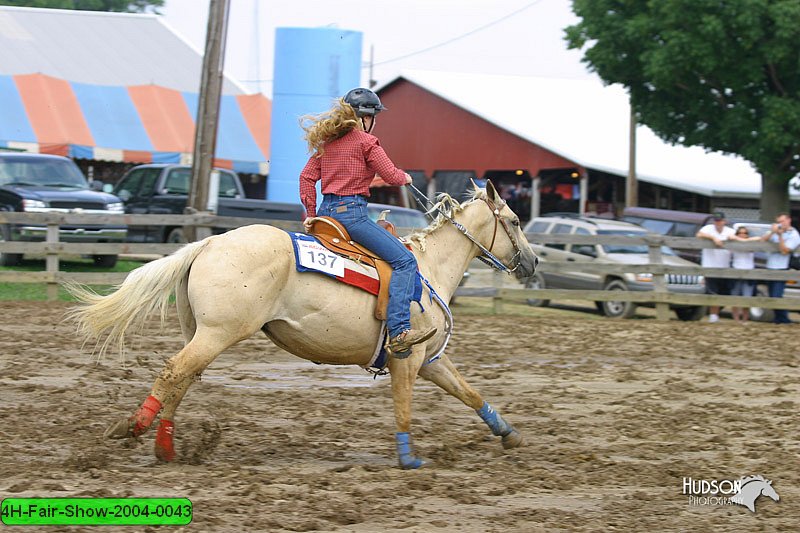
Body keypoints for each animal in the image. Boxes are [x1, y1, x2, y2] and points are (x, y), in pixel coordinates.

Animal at [67, 181, 536, 468]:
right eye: (514, 221)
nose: (531, 263)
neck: (426, 268)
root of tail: (211, 241)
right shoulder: (407, 355)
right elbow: (403, 407)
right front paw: (408, 459)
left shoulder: (430, 359)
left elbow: (470, 392)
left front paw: (509, 434)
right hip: (218, 333)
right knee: (174, 373)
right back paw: (136, 428)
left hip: (202, 334)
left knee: (181, 378)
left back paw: (165, 446)